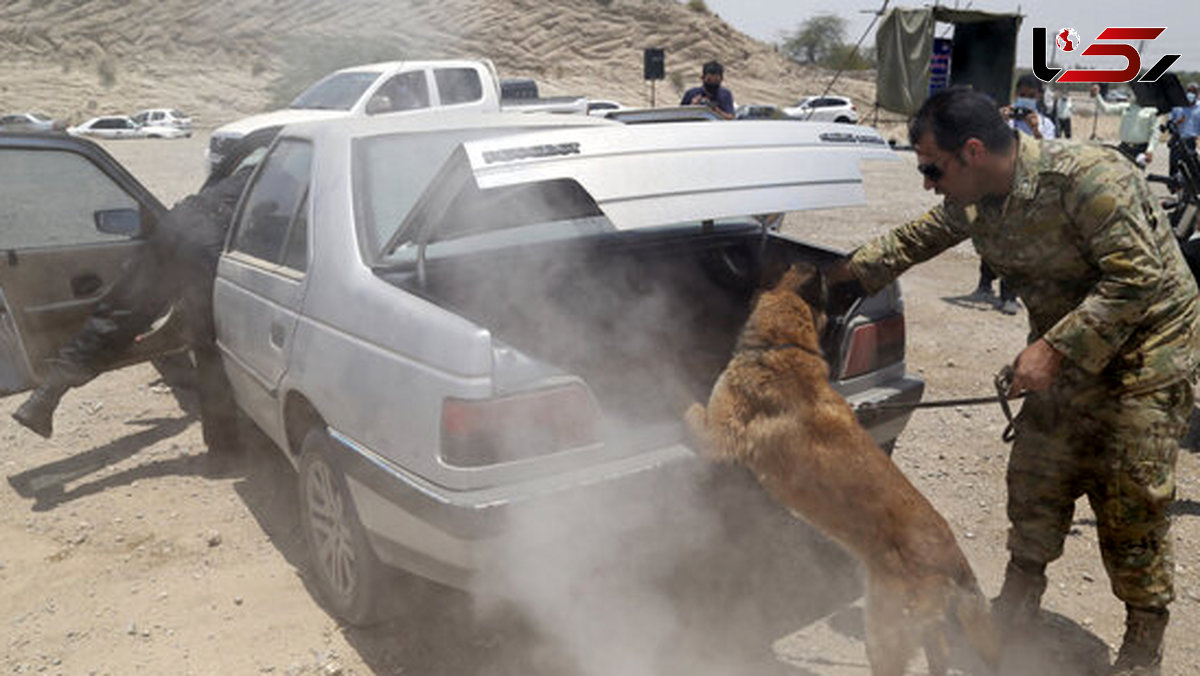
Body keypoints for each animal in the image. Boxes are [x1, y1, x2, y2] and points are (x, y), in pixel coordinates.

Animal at [686, 262, 1003, 676]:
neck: (785, 346)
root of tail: (953, 555)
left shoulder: (717, 439)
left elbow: (692, 410)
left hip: (884, 632)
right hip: (921, 625)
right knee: (941, 652)